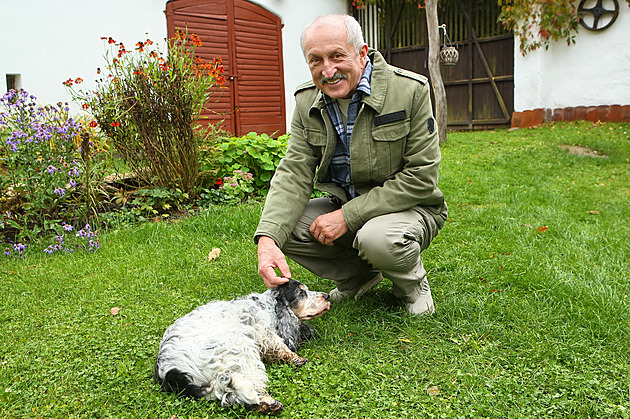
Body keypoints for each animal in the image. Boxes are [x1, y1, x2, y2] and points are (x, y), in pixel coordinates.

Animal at [154, 280, 330, 416]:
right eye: (301, 293)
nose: (327, 296)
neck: (267, 305)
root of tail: (169, 372)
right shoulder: (264, 332)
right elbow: (279, 346)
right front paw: (296, 358)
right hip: (239, 352)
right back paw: (268, 403)